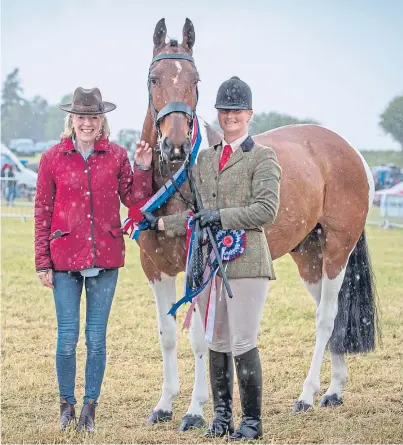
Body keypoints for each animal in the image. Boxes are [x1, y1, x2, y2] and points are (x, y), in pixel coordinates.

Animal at [136, 18, 378, 430]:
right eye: (154, 78)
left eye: (196, 80)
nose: (175, 146)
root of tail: (350, 151)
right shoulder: (155, 268)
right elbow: (167, 334)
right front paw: (164, 404)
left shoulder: (198, 270)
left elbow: (199, 339)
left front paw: (194, 410)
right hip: (308, 256)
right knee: (329, 315)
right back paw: (334, 389)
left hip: (336, 251)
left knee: (327, 318)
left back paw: (308, 395)